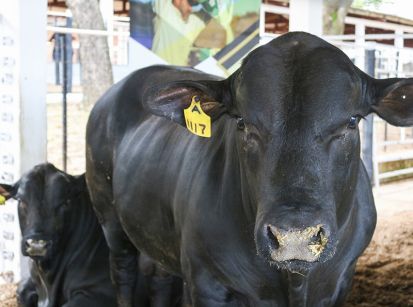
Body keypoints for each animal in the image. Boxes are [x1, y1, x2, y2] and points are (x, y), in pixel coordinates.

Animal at [84, 32, 412, 306]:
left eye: (352, 121)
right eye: (242, 122)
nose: (295, 237)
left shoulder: (340, 282)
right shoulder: (205, 283)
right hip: (109, 219)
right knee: (123, 274)